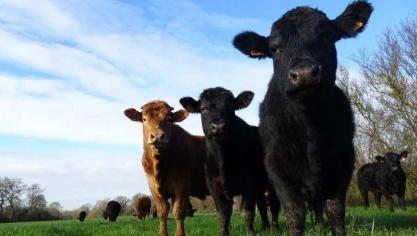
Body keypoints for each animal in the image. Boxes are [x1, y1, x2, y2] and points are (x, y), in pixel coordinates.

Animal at [123, 100, 208, 236]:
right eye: (144, 119)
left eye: (169, 119)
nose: (157, 136)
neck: (160, 168)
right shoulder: (153, 187)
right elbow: (162, 212)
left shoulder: (182, 186)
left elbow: (178, 212)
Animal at [180, 87, 280, 236]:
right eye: (203, 108)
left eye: (231, 107)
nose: (218, 126)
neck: (224, 163)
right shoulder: (214, 186)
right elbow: (223, 213)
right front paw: (223, 233)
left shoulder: (249, 184)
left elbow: (247, 212)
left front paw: (249, 233)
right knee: (262, 205)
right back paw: (265, 227)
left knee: (273, 205)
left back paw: (274, 229)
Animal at [232, 0, 372, 235]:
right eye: (275, 48)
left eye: (326, 36)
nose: (305, 73)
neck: (310, 126)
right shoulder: (276, 165)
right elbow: (294, 212)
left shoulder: (345, 160)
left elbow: (335, 209)